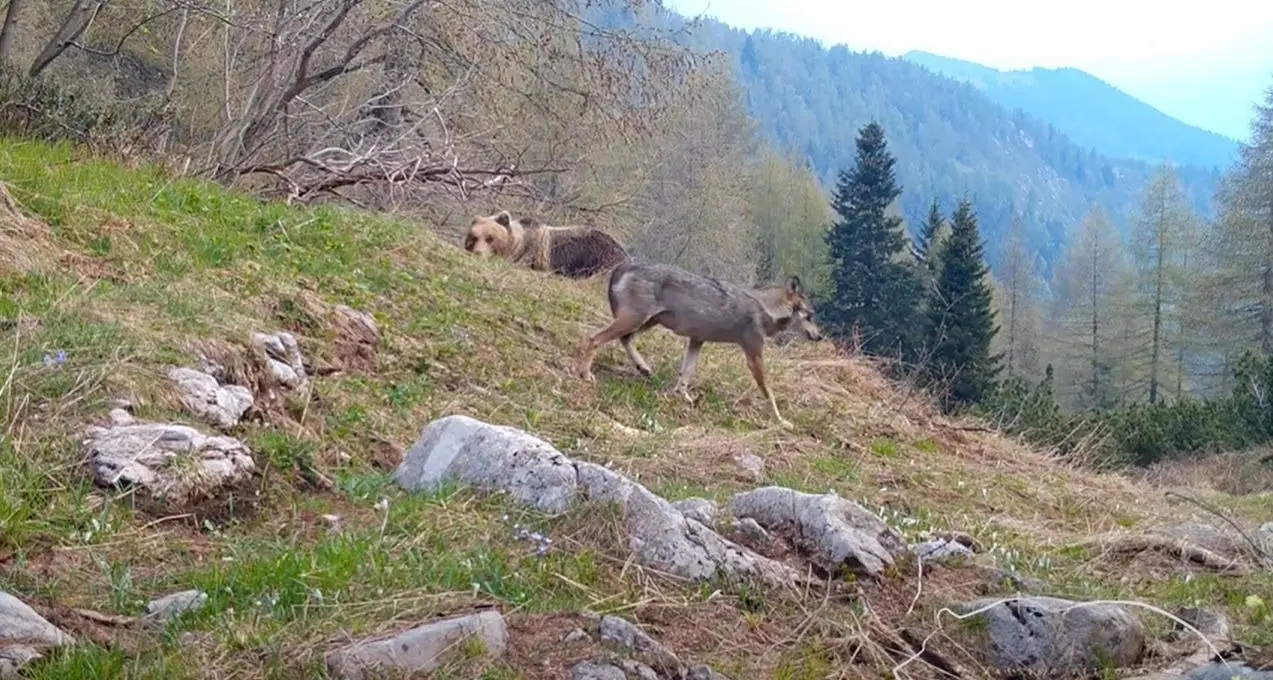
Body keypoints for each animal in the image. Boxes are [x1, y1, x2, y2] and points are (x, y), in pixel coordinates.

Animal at [575, 261, 824, 428]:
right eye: (810, 316)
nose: (820, 336)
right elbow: (769, 393)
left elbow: (685, 376)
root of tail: (624, 266)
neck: (766, 308)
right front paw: (781, 421)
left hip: (645, 323)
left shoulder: (697, 341)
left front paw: (683, 397)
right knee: (594, 338)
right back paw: (585, 374)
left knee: (624, 340)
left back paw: (644, 368)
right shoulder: (754, 356)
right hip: (634, 321)